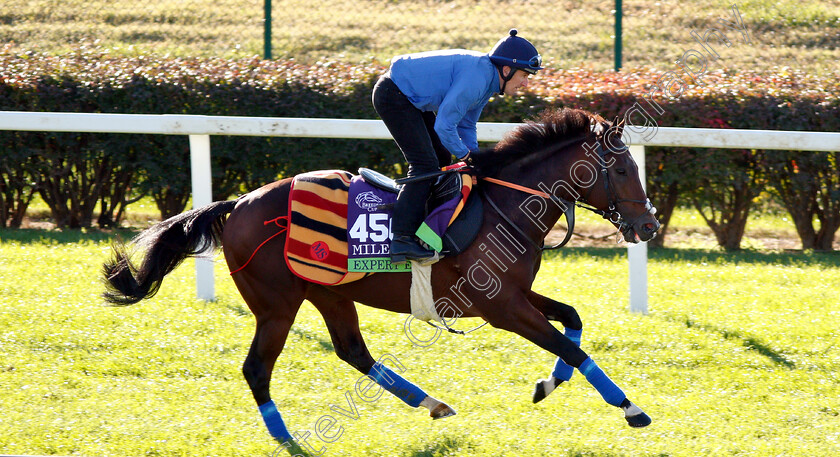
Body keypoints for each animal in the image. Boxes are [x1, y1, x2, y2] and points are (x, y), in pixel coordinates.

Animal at [101, 108, 660, 448]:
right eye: (625, 170)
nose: (649, 225)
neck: (504, 205)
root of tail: (236, 203)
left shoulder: (513, 295)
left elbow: (573, 321)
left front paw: (548, 384)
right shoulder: (501, 307)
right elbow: (572, 346)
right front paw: (631, 408)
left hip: (328, 292)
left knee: (353, 351)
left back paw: (432, 403)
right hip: (277, 304)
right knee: (257, 368)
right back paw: (290, 441)